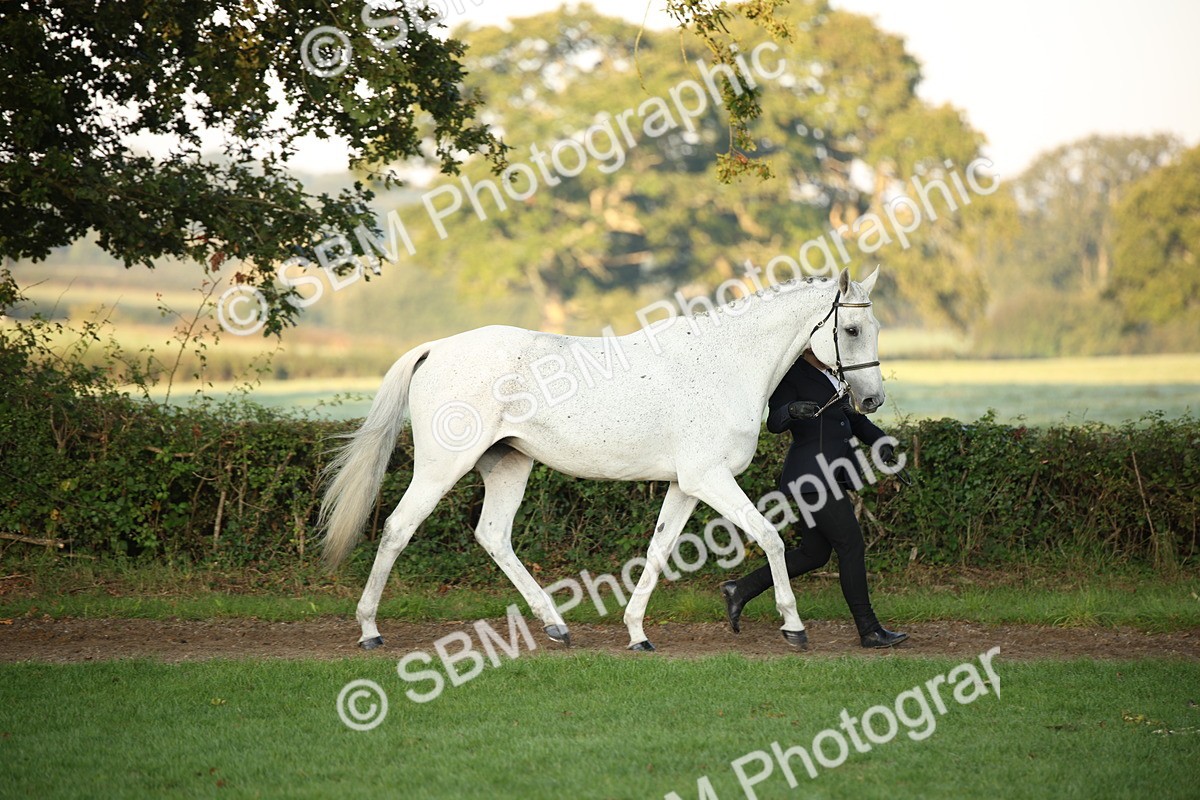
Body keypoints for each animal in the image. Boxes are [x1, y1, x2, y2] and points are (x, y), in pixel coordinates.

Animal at [319, 266, 884, 652]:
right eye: (853, 330)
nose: (872, 399)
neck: (725, 363)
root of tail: (436, 348)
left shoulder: (685, 486)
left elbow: (658, 550)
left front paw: (636, 633)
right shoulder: (710, 479)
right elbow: (769, 537)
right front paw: (793, 626)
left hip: (509, 464)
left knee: (493, 536)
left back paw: (555, 624)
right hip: (441, 468)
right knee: (397, 529)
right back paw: (369, 630)